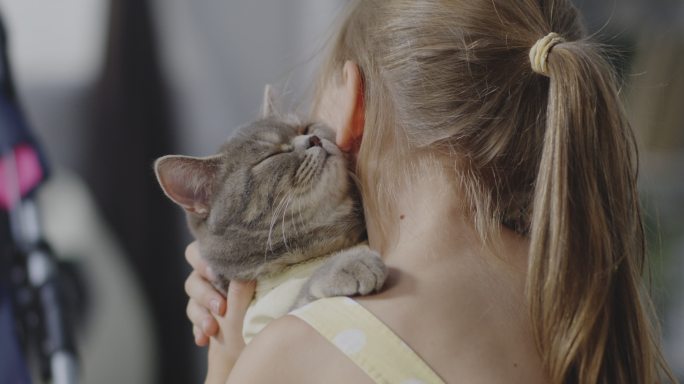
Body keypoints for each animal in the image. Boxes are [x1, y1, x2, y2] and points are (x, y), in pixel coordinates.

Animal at [155, 91, 388, 340]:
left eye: (305, 128)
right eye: (270, 156)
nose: (314, 139)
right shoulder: (261, 329)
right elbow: (301, 297)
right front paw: (351, 263)